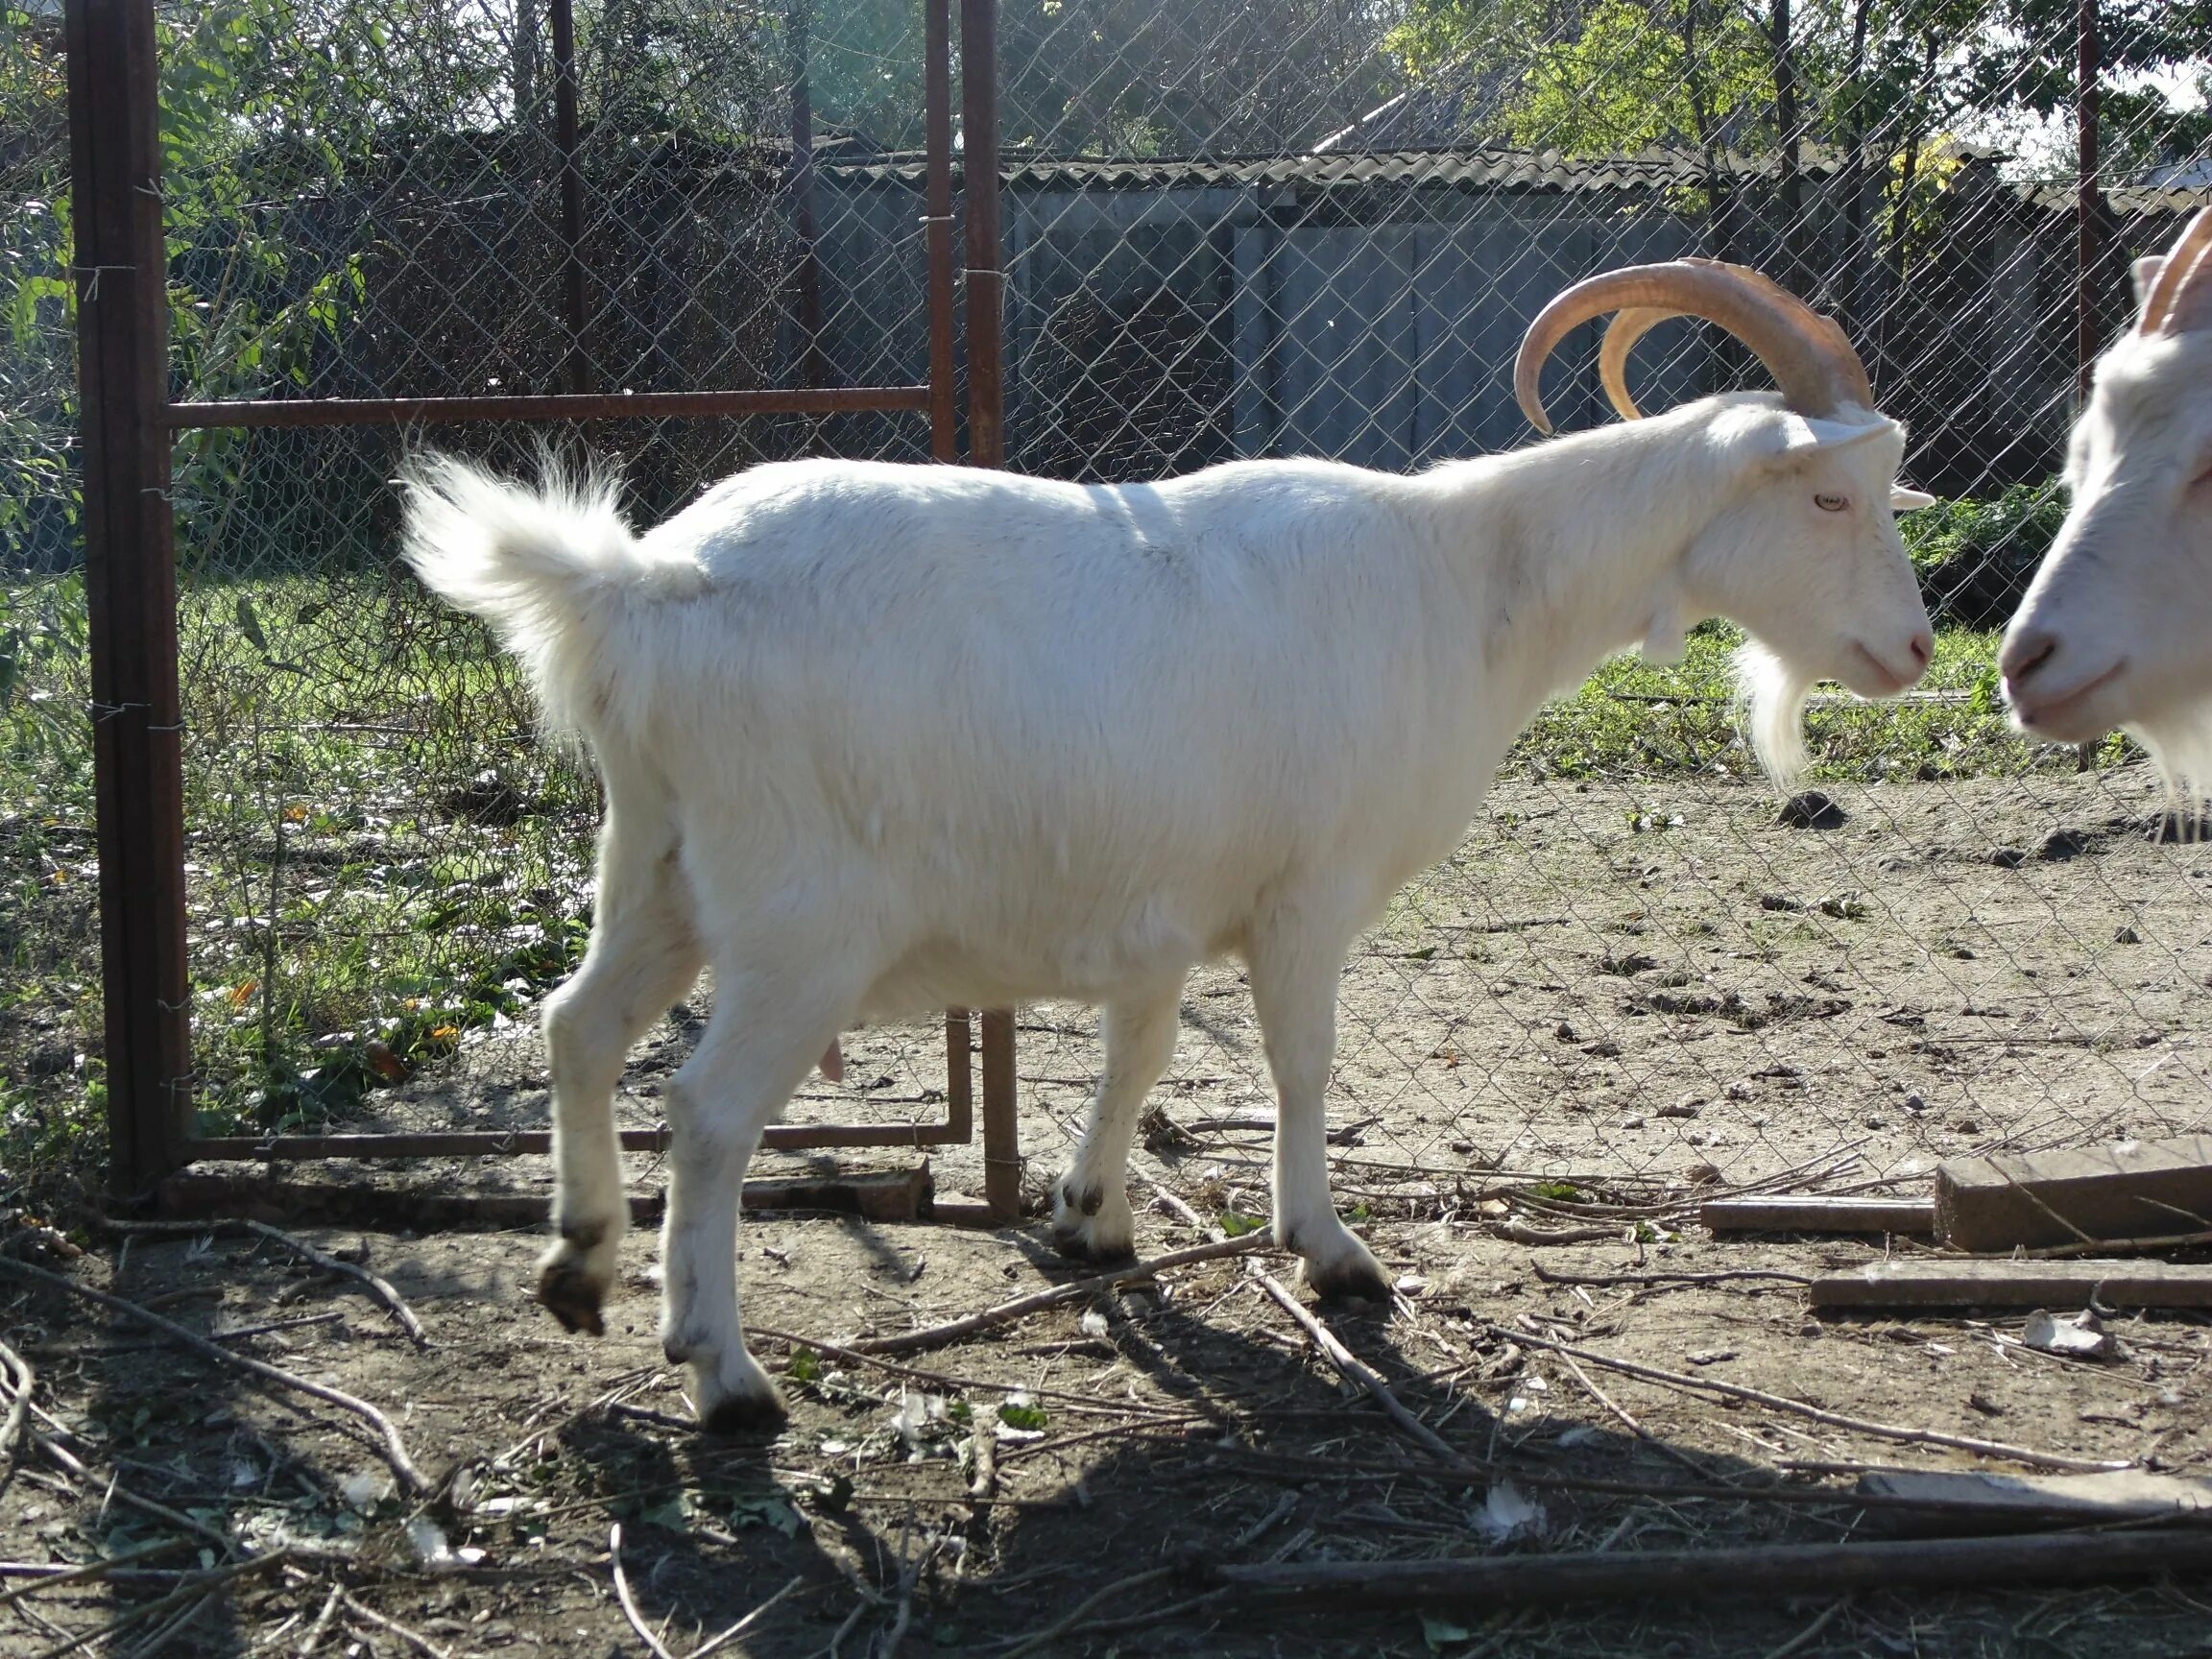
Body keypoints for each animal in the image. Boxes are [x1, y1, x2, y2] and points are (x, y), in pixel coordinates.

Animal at [402, 259, 1937, 1432]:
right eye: (1826, 498)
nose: (1917, 652)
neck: (1464, 584)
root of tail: (650, 586)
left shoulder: (1160, 903)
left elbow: (1138, 1053)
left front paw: (1090, 1214)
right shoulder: (1309, 890)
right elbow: (1304, 1062)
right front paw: (1330, 1254)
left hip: (654, 863)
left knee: (578, 1023)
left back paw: (581, 1269)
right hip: (800, 925)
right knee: (710, 1112)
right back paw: (722, 1375)